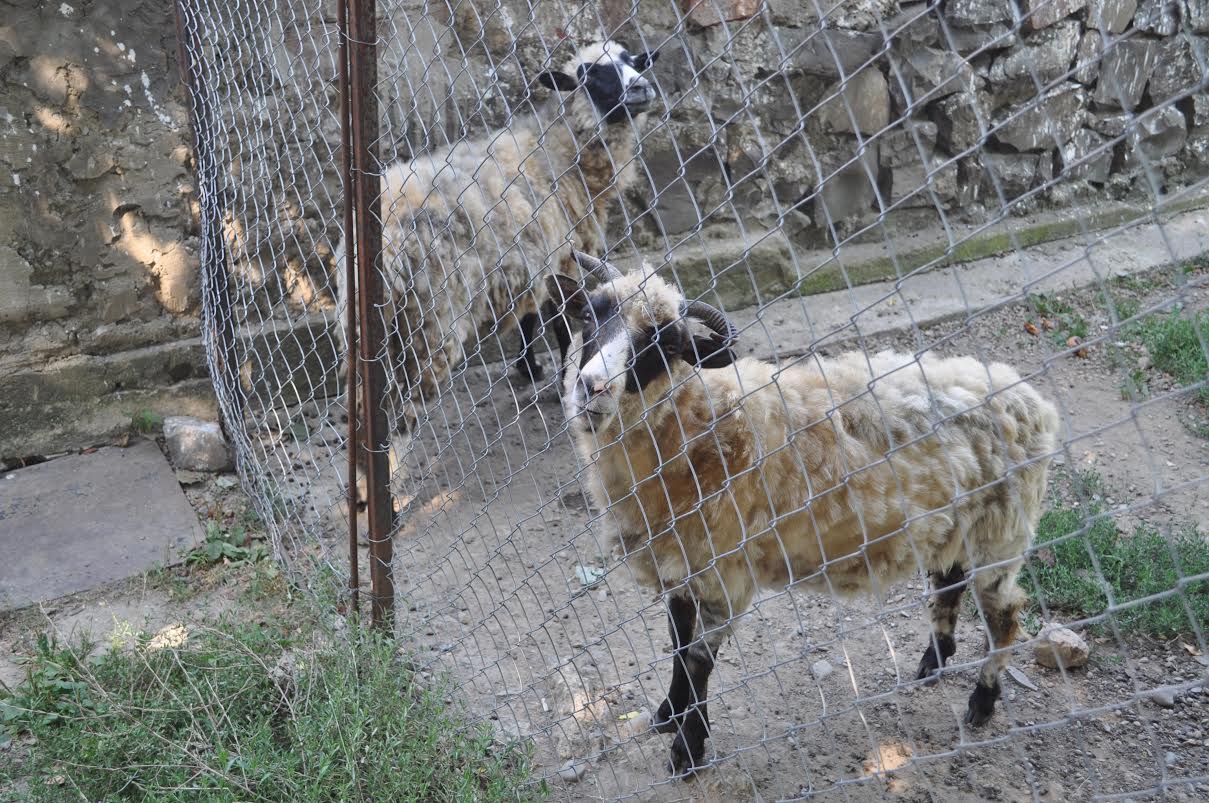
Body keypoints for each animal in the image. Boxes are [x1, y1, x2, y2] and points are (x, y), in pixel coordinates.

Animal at [336, 37, 662, 474]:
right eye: (590, 76)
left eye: (632, 61)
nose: (640, 89)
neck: (559, 150)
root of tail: (384, 239)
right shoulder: (563, 253)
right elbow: (562, 325)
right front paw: (558, 376)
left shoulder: (534, 257)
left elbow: (529, 318)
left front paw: (528, 367)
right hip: (429, 322)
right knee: (401, 410)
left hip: (366, 325)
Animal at [548, 252, 1059, 778]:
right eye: (589, 313)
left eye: (666, 343)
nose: (591, 388)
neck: (700, 428)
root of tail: (1032, 400)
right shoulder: (681, 562)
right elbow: (676, 641)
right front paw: (668, 713)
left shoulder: (724, 573)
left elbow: (698, 660)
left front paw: (688, 748)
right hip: (956, 524)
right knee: (949, 582)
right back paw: (932, 662)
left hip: (1003, 531)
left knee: (1005, 616)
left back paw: (983, 701)